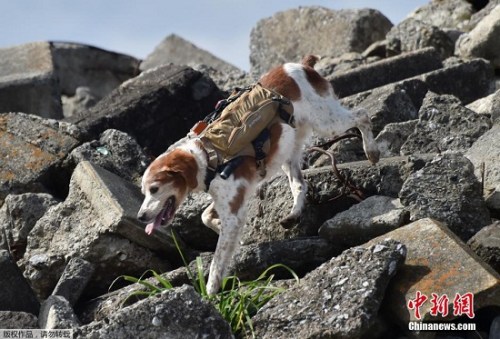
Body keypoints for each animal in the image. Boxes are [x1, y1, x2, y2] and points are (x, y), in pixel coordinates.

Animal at [137, 55, 378, 294]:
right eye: (144, 192)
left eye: (154, 189)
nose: (140, 217)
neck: (207, 156)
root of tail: (301, 64)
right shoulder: (232, 198)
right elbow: (205, 216)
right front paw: (228, 233)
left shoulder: (233, 210)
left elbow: (217, 262)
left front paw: (210, 293)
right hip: (288, 150)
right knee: (300, 184)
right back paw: (294, 214)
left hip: (327, 121)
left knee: (362, 115)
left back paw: (372, 151)